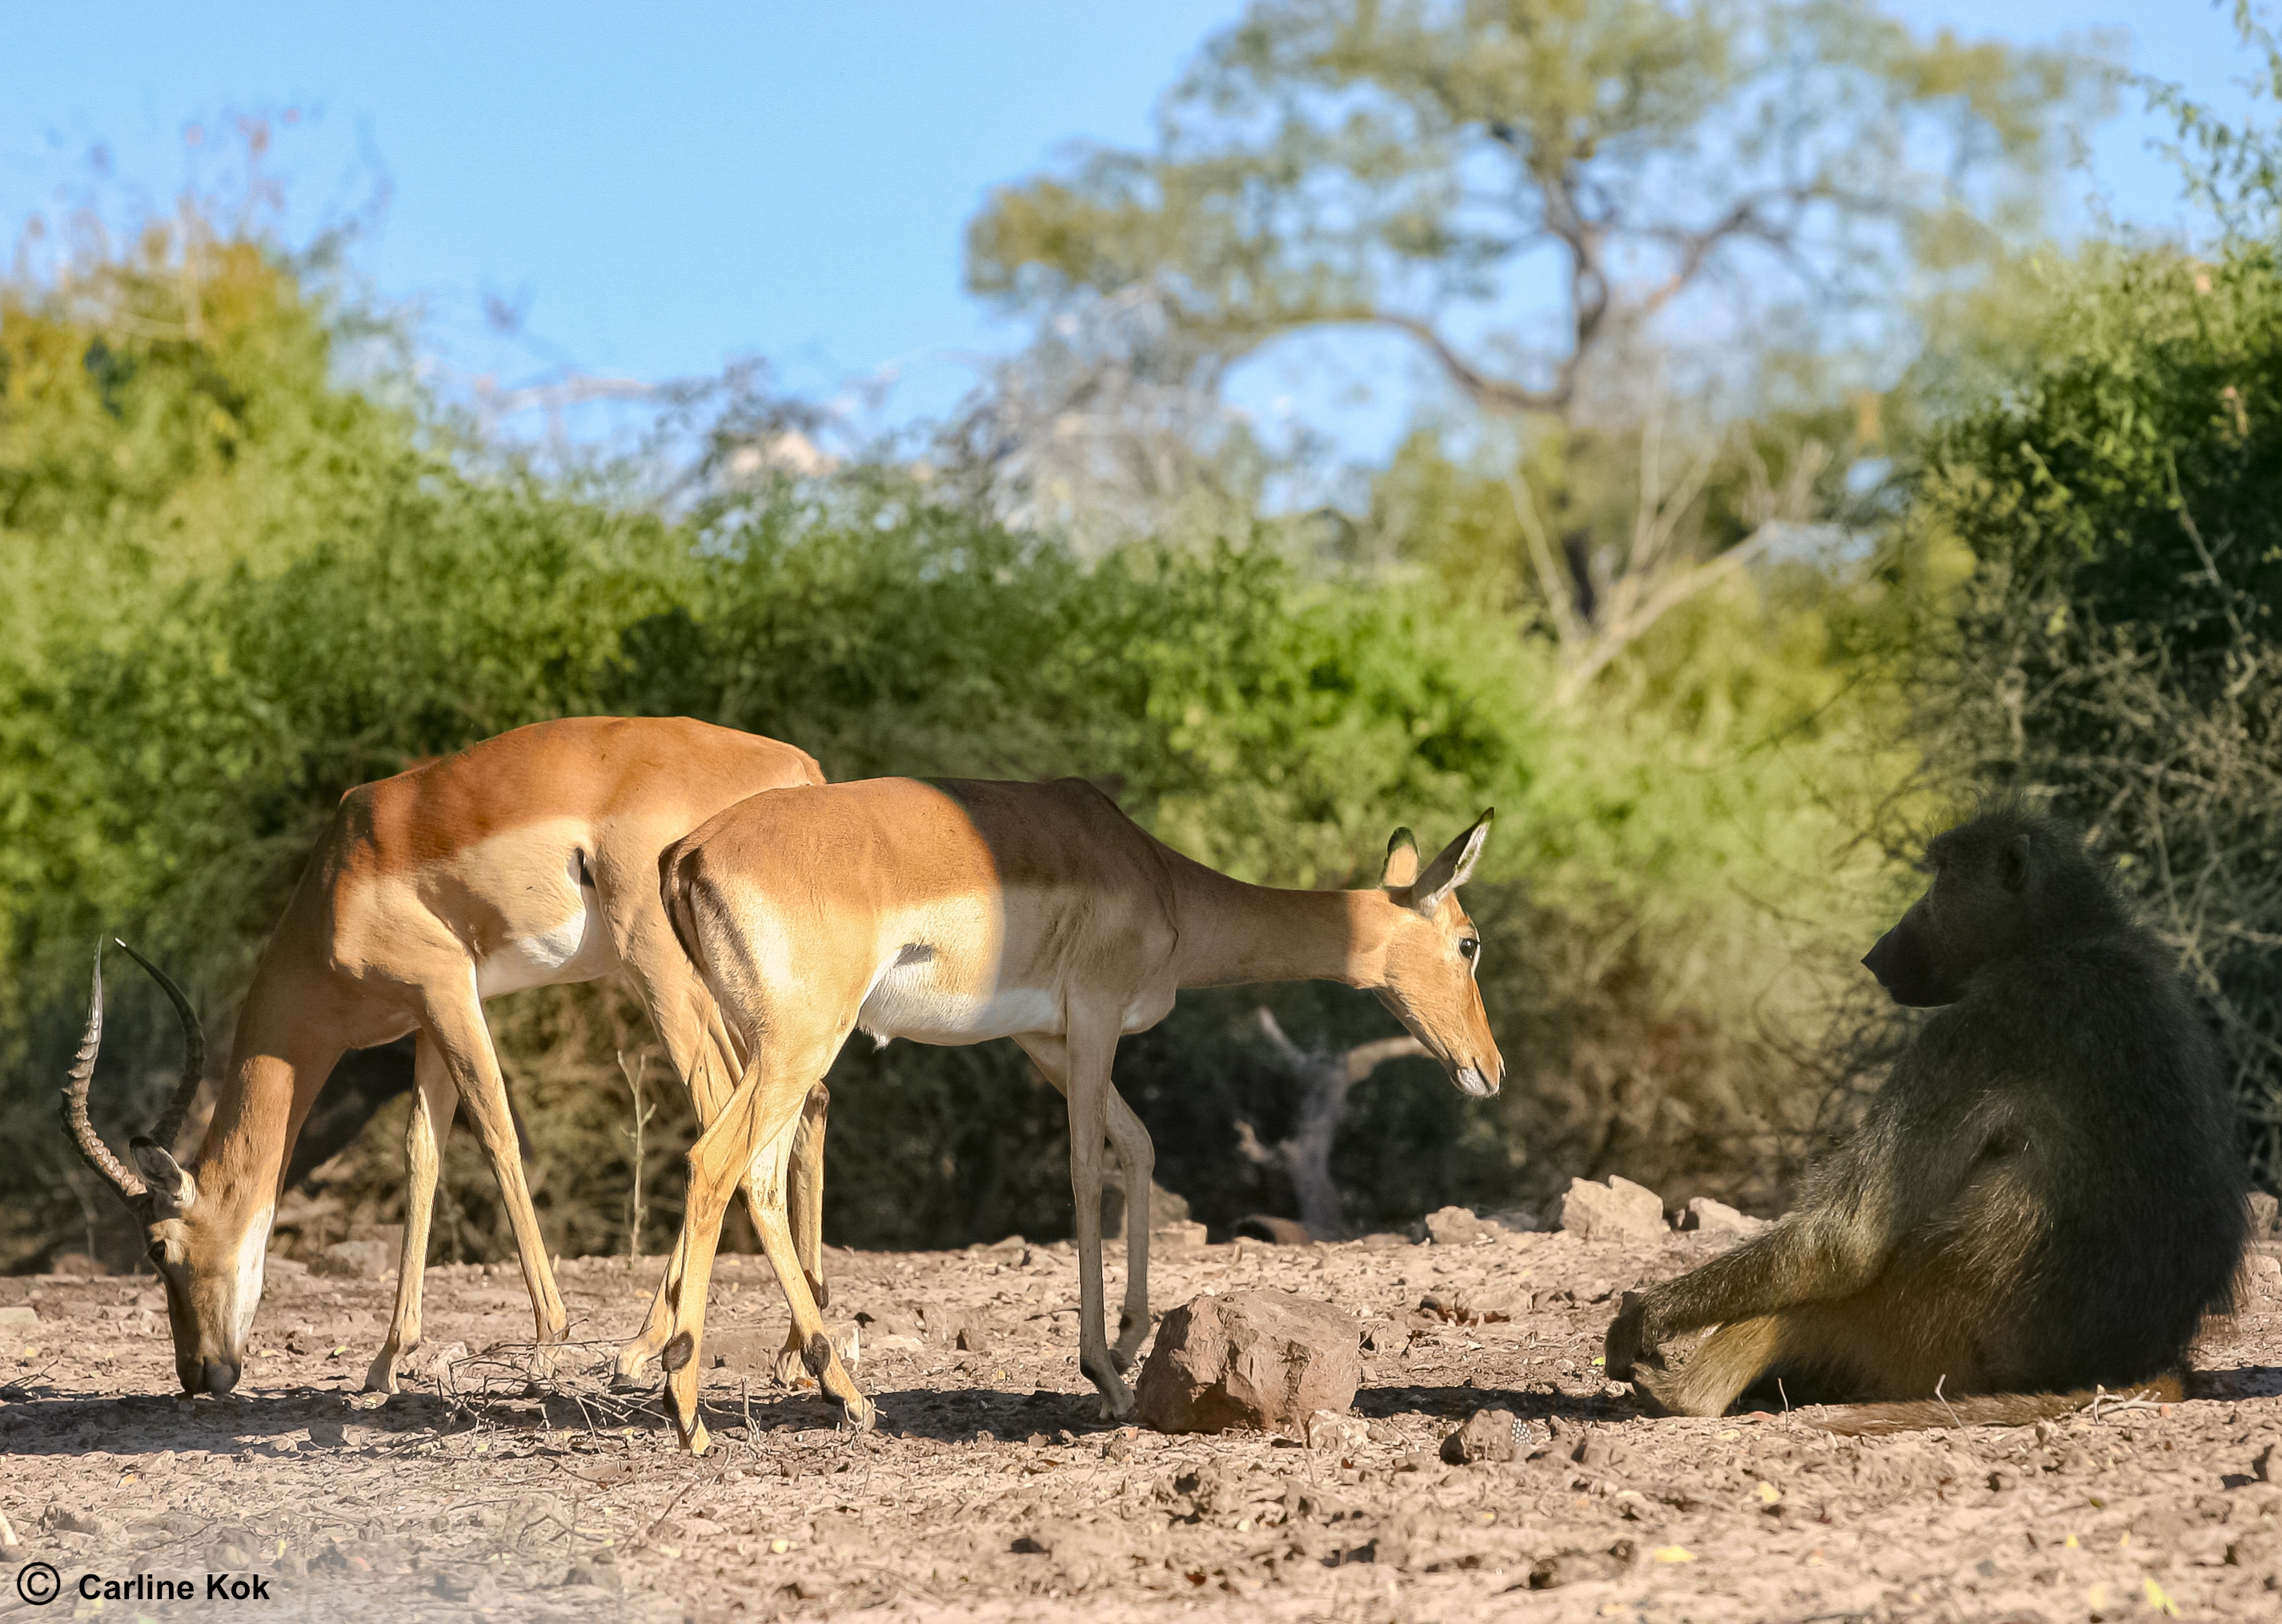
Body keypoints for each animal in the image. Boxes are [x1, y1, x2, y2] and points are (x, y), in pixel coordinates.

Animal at [60, 715, 835, 1400]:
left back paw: (646, 1348)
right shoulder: (429, 1019)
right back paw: (790, 1354)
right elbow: (421, 1154)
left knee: (717, 1112)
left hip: (659, 965)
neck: (339, 880)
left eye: (160, 1248)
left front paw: (548, 1342)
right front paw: (385, 1362)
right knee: (801, 1103)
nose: (200, 1375)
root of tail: (799, 769)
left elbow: (495, 1133)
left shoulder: (447, 989)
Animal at [645, 775, 1503, 1452]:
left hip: (778, 1051)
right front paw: (1106, 1377)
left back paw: (832, 1394)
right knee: (713, 1161)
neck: (1162, 883)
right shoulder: (1093, 1018)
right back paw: (695, 1409)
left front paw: (1126, 1343)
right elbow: (1089, 1167)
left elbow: (1140, 1145)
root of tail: (685, 853)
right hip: (800, 1044)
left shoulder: (1043, 1038)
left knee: (753, 1175)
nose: (1489, 1070)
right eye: (1468, 942)